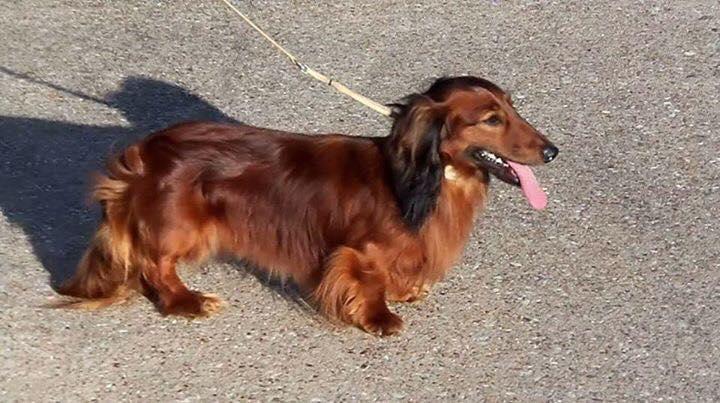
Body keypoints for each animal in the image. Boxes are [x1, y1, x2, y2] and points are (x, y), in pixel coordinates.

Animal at [56, 76, 558, 335]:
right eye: (491, 119)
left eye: (512, 108)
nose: (553, 151)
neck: (419, 179)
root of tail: (144, 152)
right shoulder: (358, 252)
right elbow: (368, 282)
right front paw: (380, 317)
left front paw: (402, 290)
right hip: (182, 227)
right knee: (154, 266)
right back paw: (188, 302)